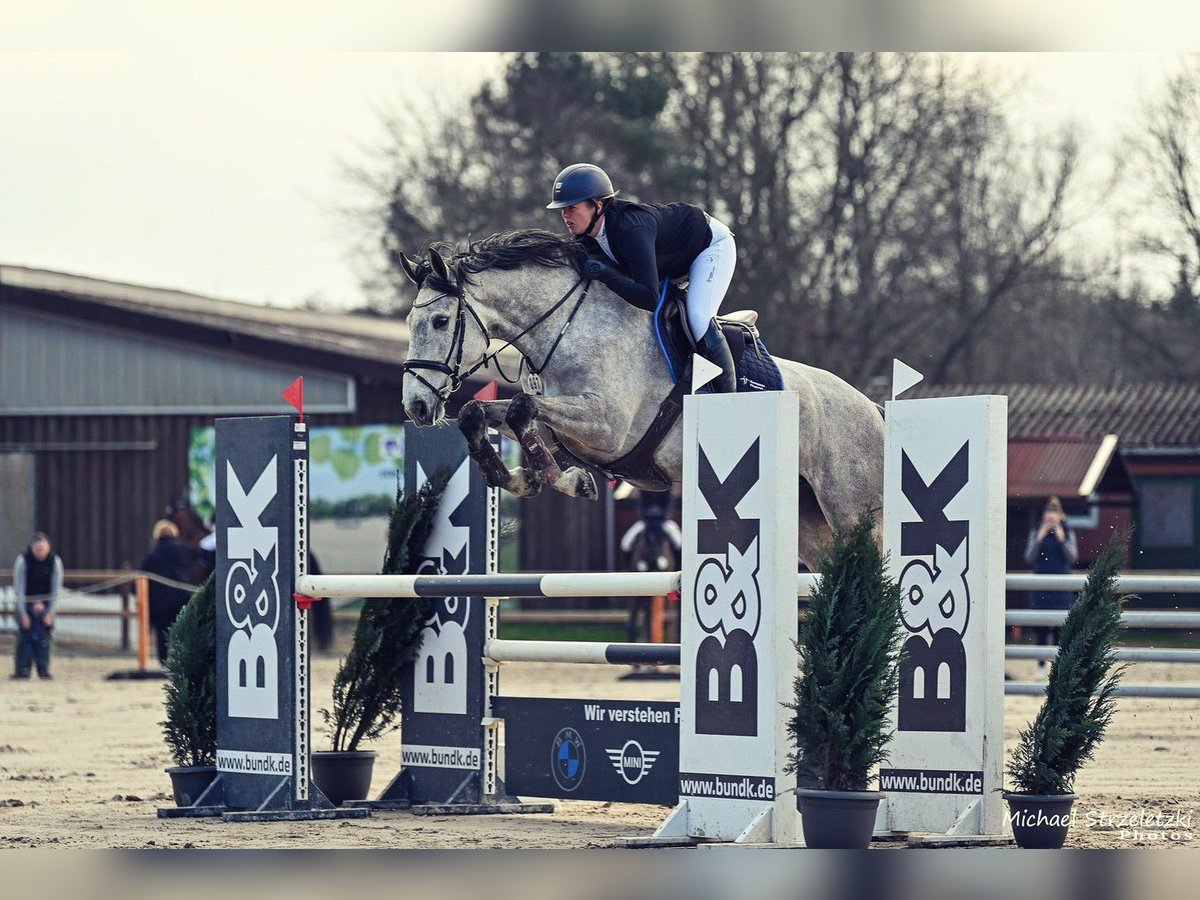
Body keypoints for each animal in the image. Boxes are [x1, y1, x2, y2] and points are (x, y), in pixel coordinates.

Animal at [398, 229, 888, 566]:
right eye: (409, 323)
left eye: (441, 321)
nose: (416, 407)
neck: (570, 327)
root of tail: (874, 410)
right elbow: (479, 413)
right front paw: (521, 479)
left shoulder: (607, 428)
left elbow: (522, 409)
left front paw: (567, 481)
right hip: (811, 524)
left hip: (851, 512)